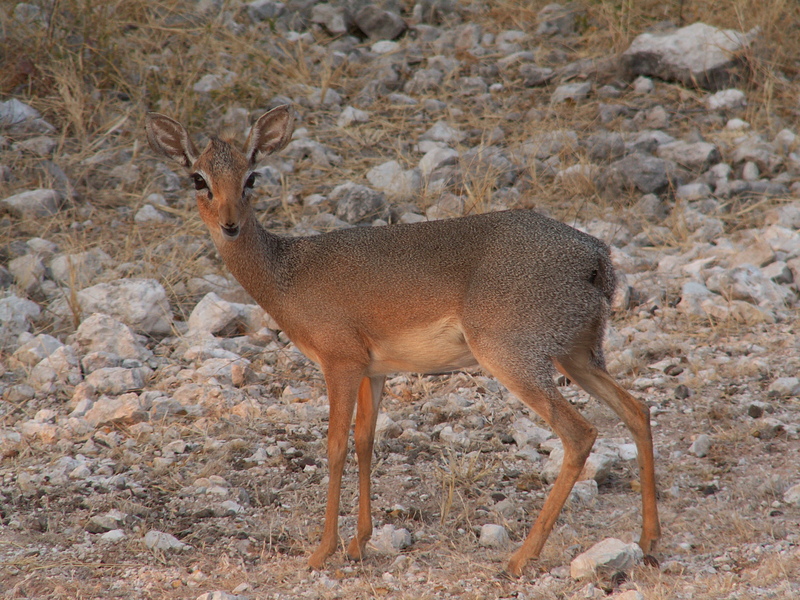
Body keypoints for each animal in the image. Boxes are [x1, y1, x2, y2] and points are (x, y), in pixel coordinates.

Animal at [145, 106, 664, 576]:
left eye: (251, 176)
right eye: (198, 178)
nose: (230, 223)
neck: (286, 273)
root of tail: (594, 255)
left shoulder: (339, 364)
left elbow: (335, 445)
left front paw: (322, 551)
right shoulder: (373, 372)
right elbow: (365, 441)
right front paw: (358, 543)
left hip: (513, 358)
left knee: (581, 433)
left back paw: (520, 558)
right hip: (577, 356)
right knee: (637, 409)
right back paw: (648, 542)